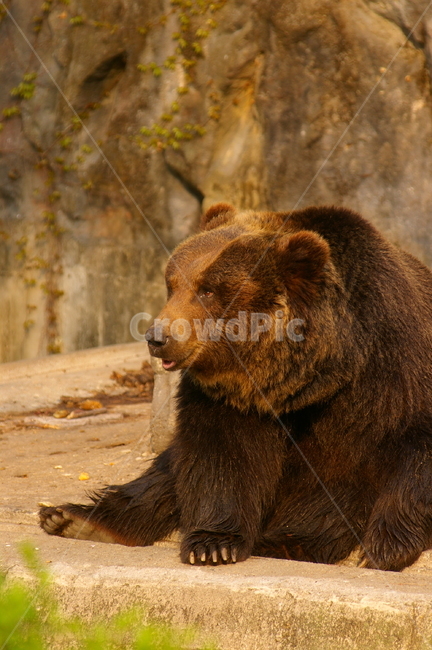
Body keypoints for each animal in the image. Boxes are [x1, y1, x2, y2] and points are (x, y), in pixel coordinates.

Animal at [40, 203, 432, 571]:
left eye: (208, 289)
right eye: (172, 284)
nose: (157, 338)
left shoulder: (394, 374)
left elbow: (405, 457)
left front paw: (384, 547)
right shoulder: (228, 399)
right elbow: (223, 456)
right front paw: (214, 544)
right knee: (164, 473)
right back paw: (74, 518)